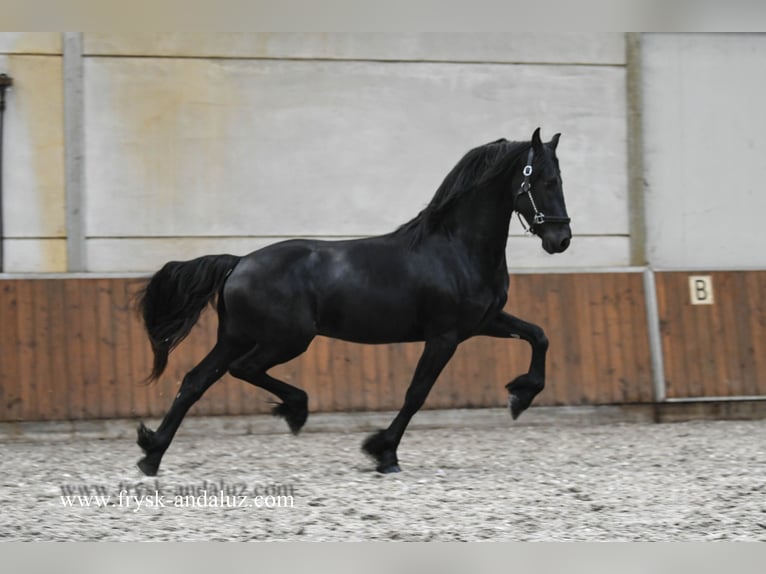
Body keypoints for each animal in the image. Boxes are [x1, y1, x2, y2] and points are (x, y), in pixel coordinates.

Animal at [135, 127, 571, 475]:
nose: (561, 240)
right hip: (285, 339)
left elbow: (540, 335)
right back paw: (295, 409)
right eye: (545, 181)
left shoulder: (483, 322)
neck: (455, 249)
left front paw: (520, 395)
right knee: (242, 370)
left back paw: (151, 455)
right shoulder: (444, 336)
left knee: (195, 381)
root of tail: (239, 262)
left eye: (559, 180)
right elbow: (416, 393)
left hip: (236, 336)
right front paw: (383, 452)